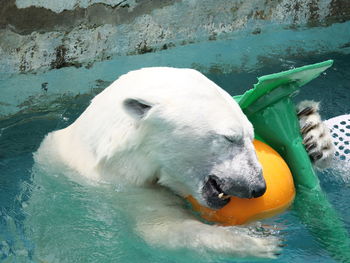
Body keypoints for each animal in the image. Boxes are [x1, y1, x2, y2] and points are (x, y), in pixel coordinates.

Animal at [34, 67, 334, 258]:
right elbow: (161, 232)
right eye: (230, 137)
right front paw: (254, 238)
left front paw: (313, 134)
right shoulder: (120, 191)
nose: (257, 187)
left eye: (250, 135)